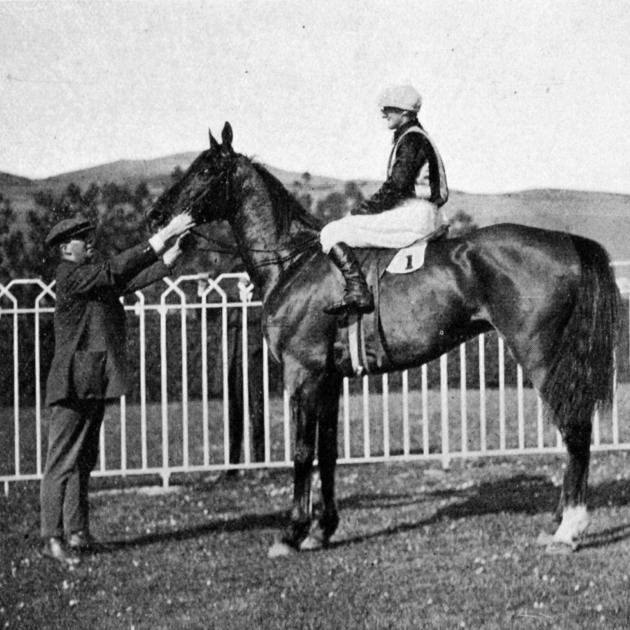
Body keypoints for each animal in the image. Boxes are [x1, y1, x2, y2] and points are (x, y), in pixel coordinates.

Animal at [148, 123, 624, 556]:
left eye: (205, 169)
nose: (157, 215)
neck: (294, 261)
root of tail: (567, 242)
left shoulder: (303, 374)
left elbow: (302, 452)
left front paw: (293, 533)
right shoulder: (330, 379)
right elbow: (327, 452)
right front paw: (323, 529)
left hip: (543, 357)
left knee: (575, 429)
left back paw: (568, 530)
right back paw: (557, 524)